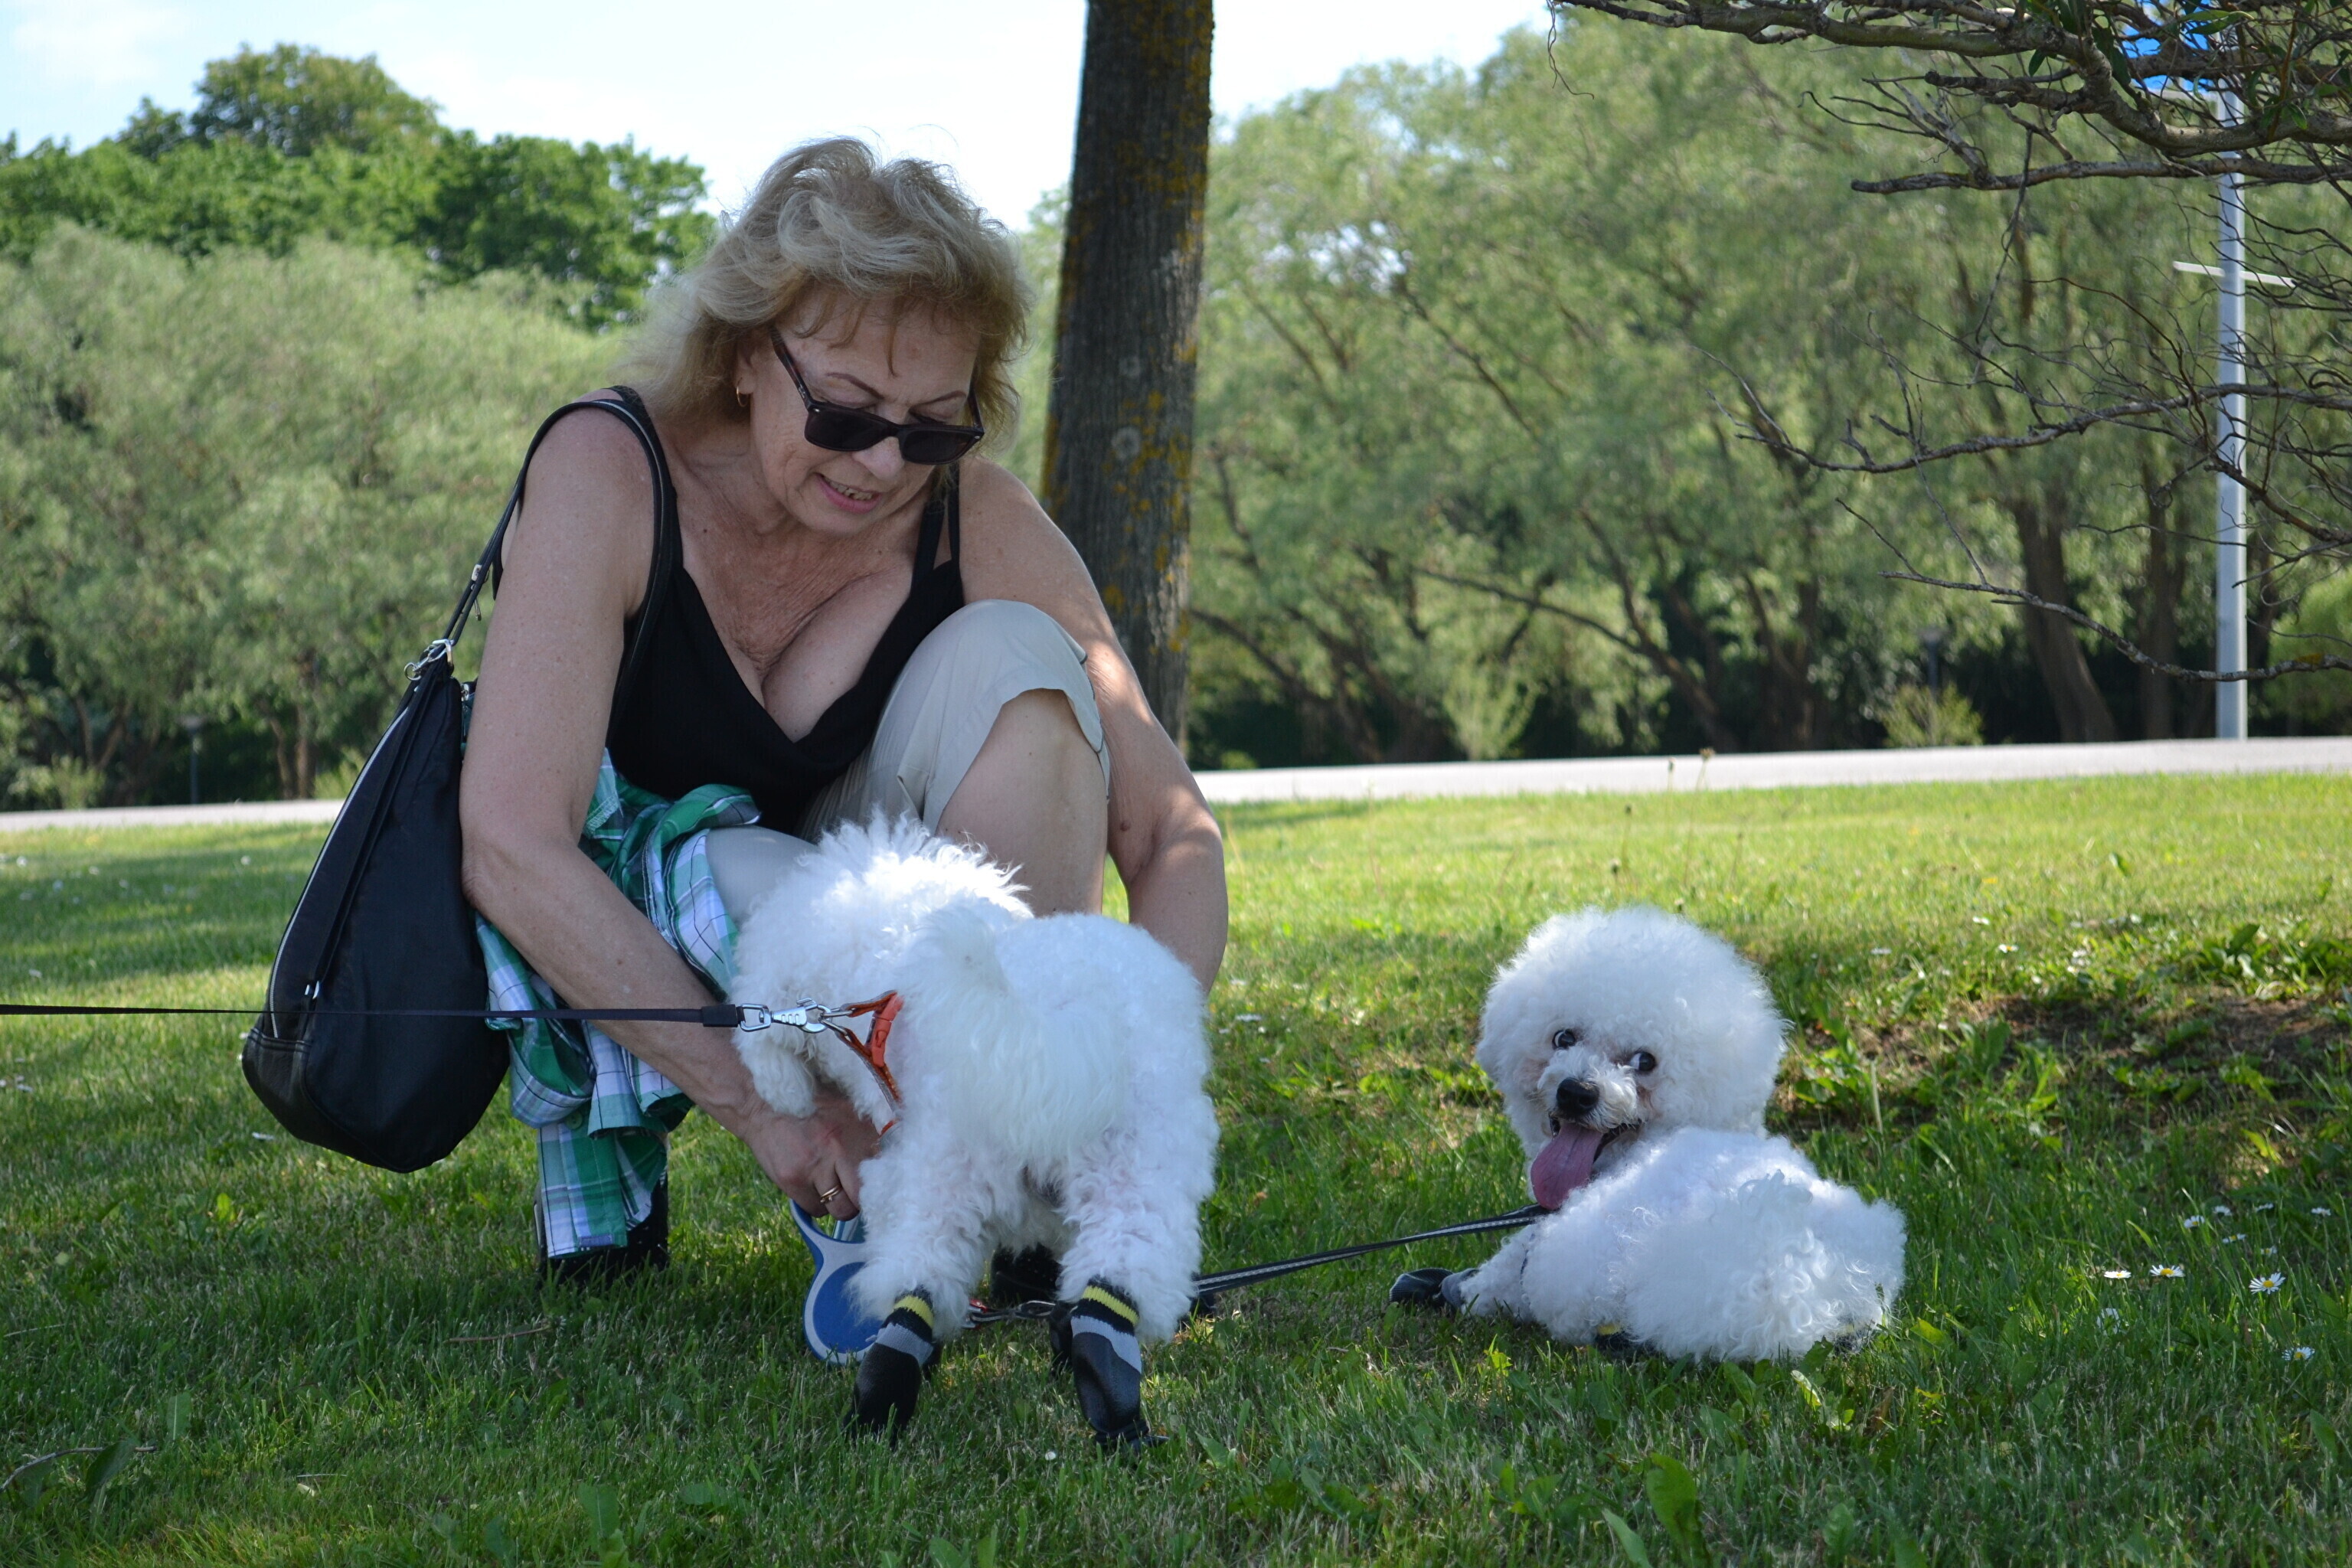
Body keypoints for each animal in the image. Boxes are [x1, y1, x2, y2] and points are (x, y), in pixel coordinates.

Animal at [725, 817, 1218, 1445]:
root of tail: (1057, 1015)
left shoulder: (895, 1166)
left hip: (946, 1174)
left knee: (918, 1285)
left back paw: (877, 1412)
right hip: (1140, 1169)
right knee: (1113, 1281)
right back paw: (1114, 1408)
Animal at [1397, 906, 1905, 1361]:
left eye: (1645, 1061)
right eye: (1563, 1038)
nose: (1577, 1093)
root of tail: (1796, 1290)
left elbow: (1505, 1266)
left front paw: (1464, 1289)